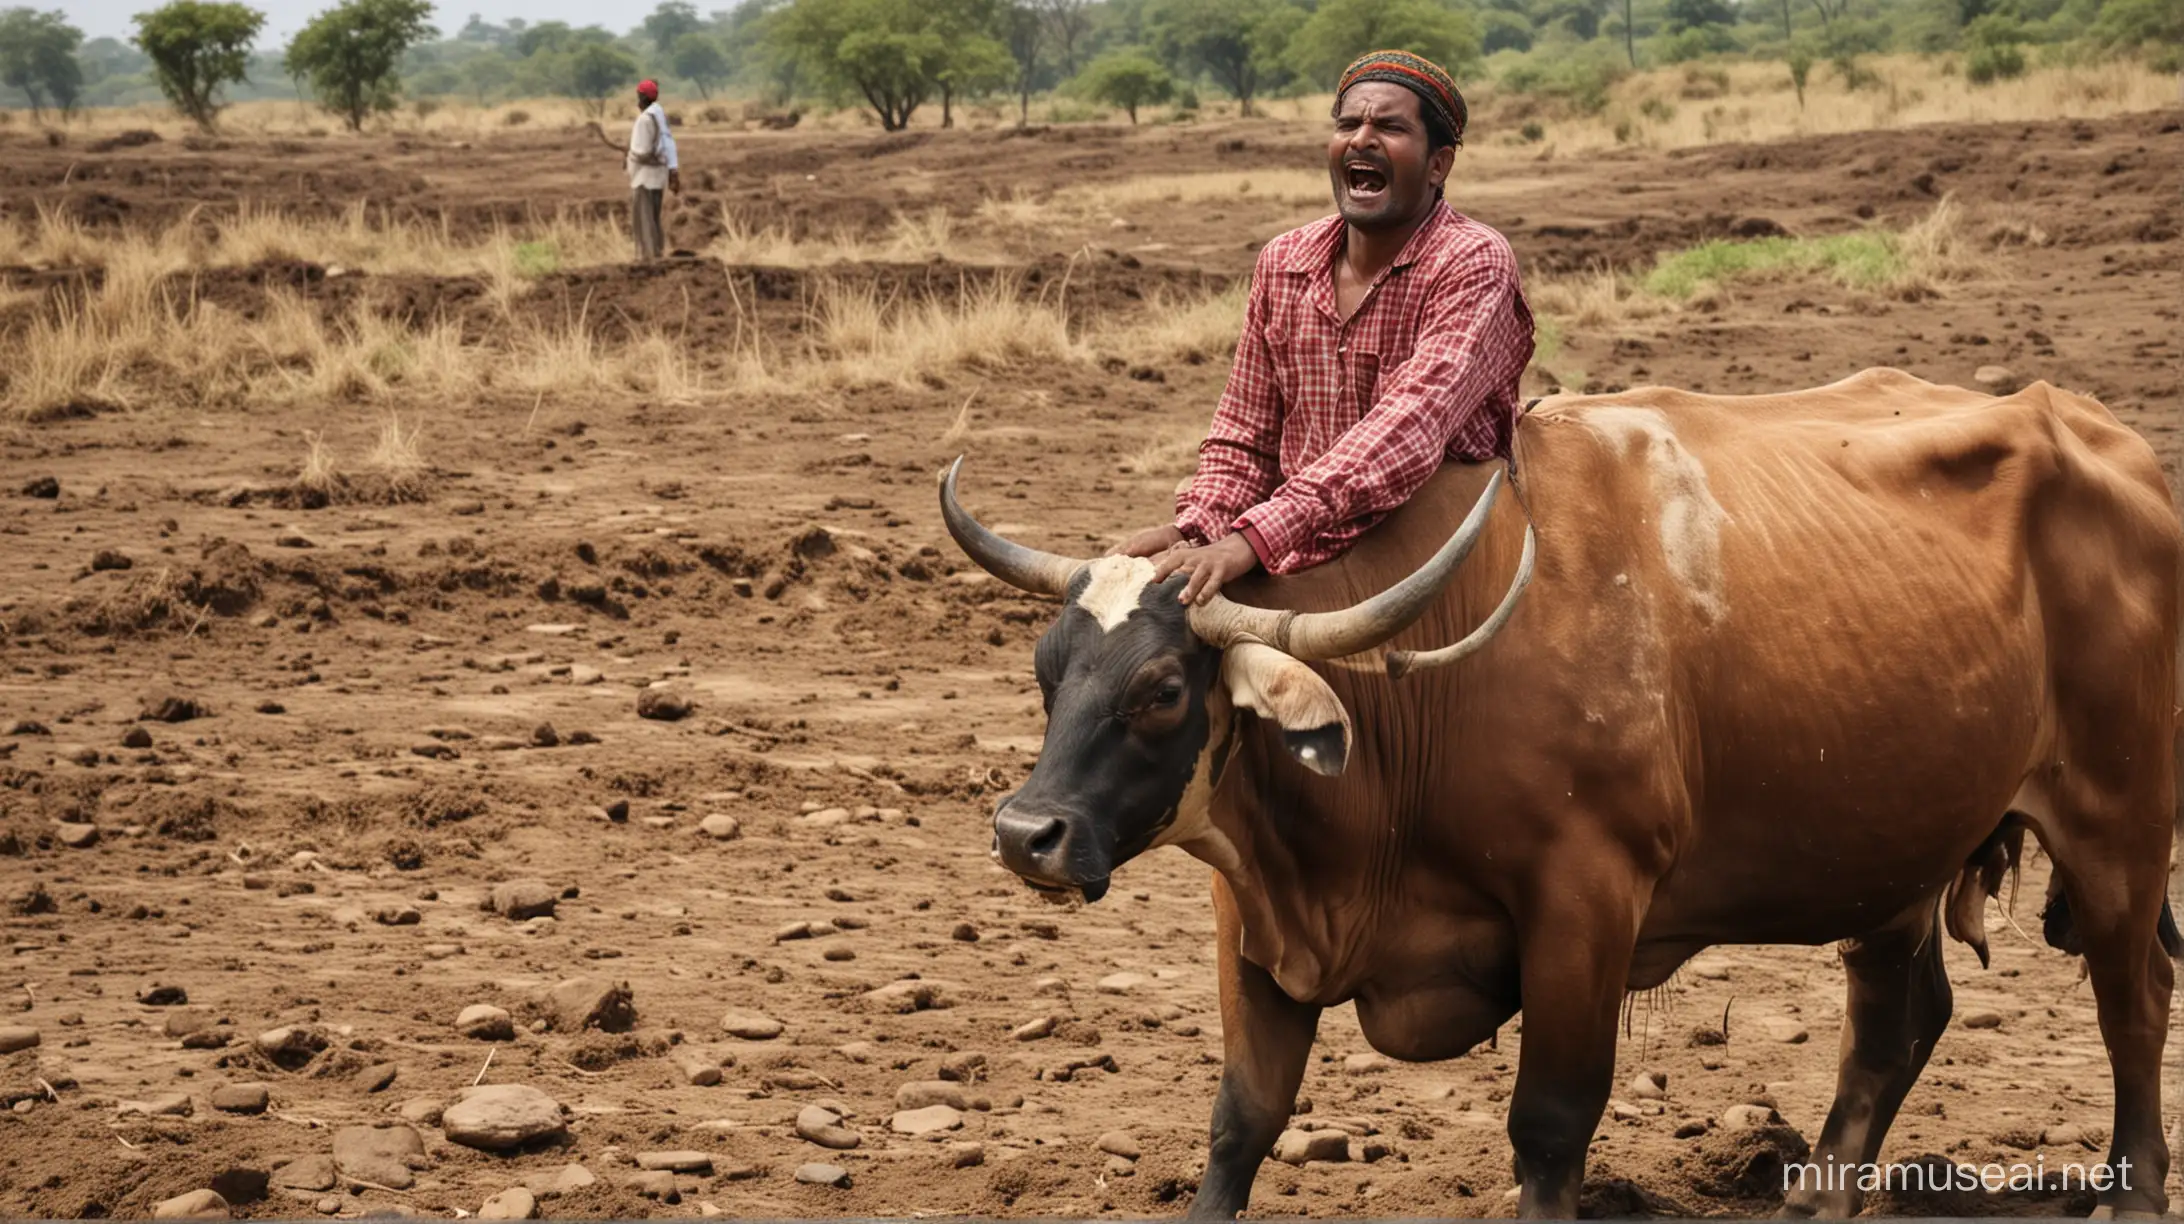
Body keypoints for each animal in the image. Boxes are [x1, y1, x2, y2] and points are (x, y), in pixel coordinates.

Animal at [939, 367, 2184, 1215]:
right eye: (1049, 666)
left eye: (1160, 690)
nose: (1026, 833)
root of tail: (2112, 444)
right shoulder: (1256, 928)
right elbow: (1240, 1124)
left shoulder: (1585, 910)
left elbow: (1547, 1129)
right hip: (1891, 854)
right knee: (1897, 1023)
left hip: (2117, 825)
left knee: (2134, 1001)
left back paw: (2130, 1190)